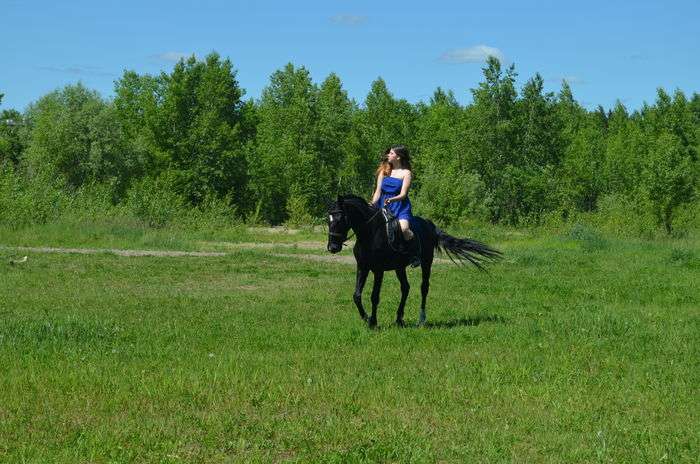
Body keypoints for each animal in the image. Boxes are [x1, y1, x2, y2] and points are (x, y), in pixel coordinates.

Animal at [326, 194, 500, 328]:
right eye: (328, 220)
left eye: (340, 219)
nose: (332, 247)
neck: (370, 233)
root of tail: (430, 226)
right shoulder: (363, 267)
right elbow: (356, 295)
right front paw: (366, 318)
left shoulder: (378, 271)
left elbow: (374, 296)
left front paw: (373, 322)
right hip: (399, 267)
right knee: (405, 288)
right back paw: (399, 319)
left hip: (426, 263)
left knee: (424, 288)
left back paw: (421, 319)